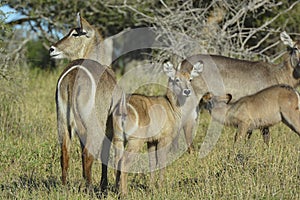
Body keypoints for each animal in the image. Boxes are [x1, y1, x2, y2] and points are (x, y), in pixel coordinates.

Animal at [112, 61, 202, 195]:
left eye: (190, 79)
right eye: (176, 79)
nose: (187, 91)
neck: (173, 108)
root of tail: (122, 107)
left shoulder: (152, 141)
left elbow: (152, 163)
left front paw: (152, 187)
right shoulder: (165, 138)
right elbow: (162, 161)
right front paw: (161, 187)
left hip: (118, 138)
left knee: (117, 160)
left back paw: (116, 190)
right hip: (135, 140)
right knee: (124, 162)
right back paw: (124, 193)